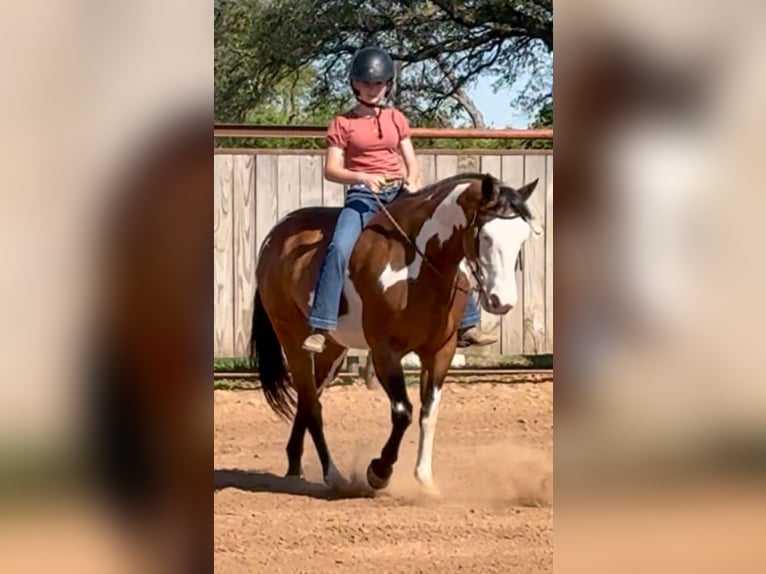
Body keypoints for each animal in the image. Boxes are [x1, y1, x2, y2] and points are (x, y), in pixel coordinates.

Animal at [248, 172, 541, 494]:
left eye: (522, 238)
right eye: (486, 236)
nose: (503, 301)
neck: (413, 265)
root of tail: (275, 236)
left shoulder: (441, 351)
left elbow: (429, 412)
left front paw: (425, 480)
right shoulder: (384, 352)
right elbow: (403, 411)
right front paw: (379, 472)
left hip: (332, 350)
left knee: (307, 396)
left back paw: (294, 466)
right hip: (292, 339)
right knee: (312, 404)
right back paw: (333, 475)